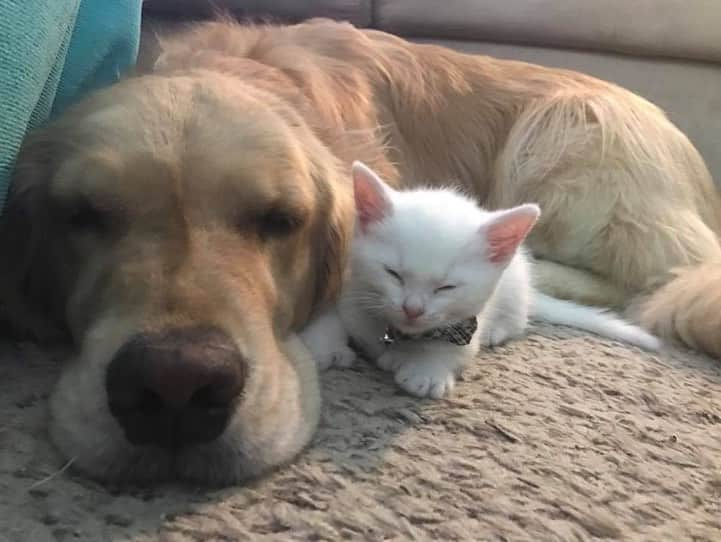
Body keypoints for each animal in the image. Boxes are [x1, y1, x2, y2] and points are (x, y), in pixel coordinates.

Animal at [300, 162, 660, 400]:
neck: (397, 335)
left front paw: (426, 370)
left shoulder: (466, 323)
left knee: (517, 319)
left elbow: (454, 349)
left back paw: (498, 331)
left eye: (446, 287)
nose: (412, 309)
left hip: (515, 282)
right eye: (393, 273)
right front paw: (326, 347)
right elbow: (328, 315)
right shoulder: (347, 283)